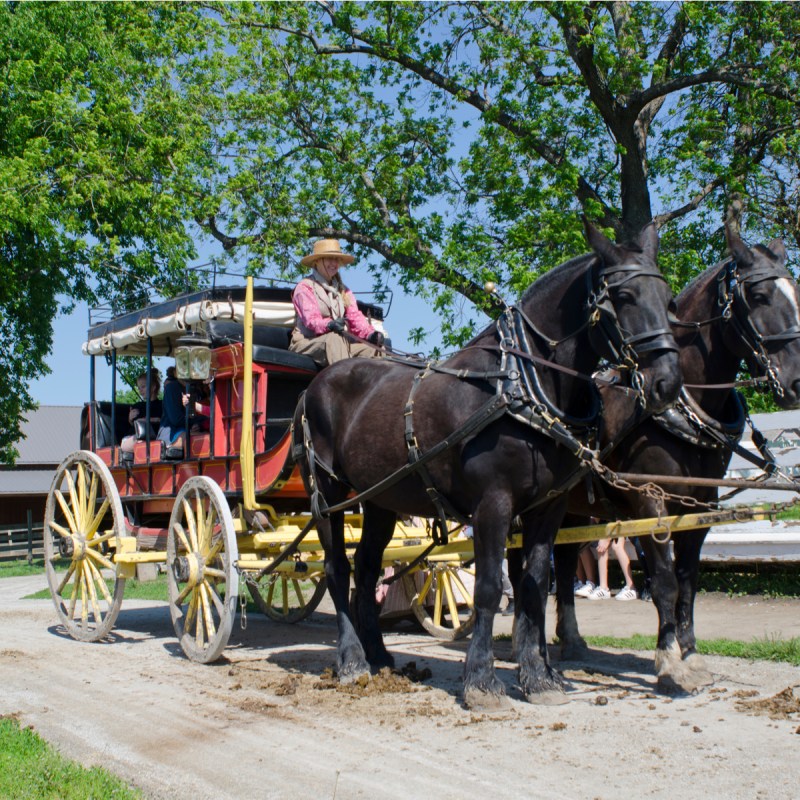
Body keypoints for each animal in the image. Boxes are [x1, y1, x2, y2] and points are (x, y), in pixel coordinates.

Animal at [294, 219, 680, 708]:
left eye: (668, 299)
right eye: (625, 296)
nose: (667, 382)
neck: (522, 383)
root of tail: (316, 385)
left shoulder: (548, 508)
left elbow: (533, 585)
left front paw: (538, 677)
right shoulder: (493, 504)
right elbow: (491, 587)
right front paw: (481, 680)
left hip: (380, 498)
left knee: (364, 569)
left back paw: (378, 654)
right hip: (327, 494)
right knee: (337, 568)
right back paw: (351, 660)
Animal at [552, 219, 800, 692]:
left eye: (795, 291)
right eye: (759, 296)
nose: (797, 381)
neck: (681, 410)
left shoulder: (698, 505)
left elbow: (687, 580)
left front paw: (691, 652)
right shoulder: (651, 501)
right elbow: (665, 580)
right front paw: (668, 660)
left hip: (573, 508)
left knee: (561, 561)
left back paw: (569, 639)